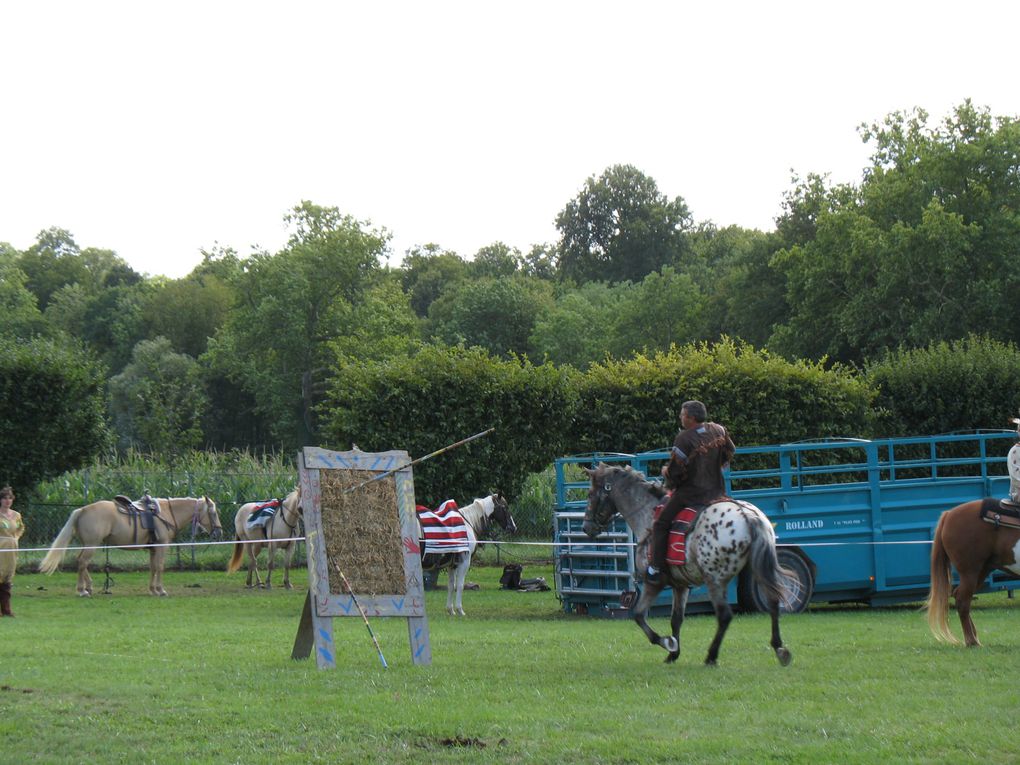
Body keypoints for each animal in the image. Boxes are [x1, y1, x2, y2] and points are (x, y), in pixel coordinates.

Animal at [41, 497, 223, 599]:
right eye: (213, 513)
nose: (219, 532)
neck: (166, 513)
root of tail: (82, 510)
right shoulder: (162, 546)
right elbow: (160, 567)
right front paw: (161, 590)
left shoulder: (153, 548)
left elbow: (153, 568)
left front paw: (152, 590)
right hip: (92, 544)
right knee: (82, 563)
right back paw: (82, 590)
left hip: (88, 544)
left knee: (80, 561)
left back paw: (89, 587)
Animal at [583, 465, 795, 669]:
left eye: (590, 493)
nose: (586, 527)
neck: (648, 515)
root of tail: (748, 516)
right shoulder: (681, 586)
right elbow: (676, 619)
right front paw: (673, 654)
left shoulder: (654, 584)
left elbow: (639, 615)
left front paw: (667, 643)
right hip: (757, 570)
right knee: (773, 602)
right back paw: (779, 648)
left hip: (714, 580)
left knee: (724, 615)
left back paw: (711, 656)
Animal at [926, 499, 1020, 648]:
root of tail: (948, 515)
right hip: (969, 572)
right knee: (962, 600)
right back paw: (972, 641)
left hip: (981, 571)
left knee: (960, 596)